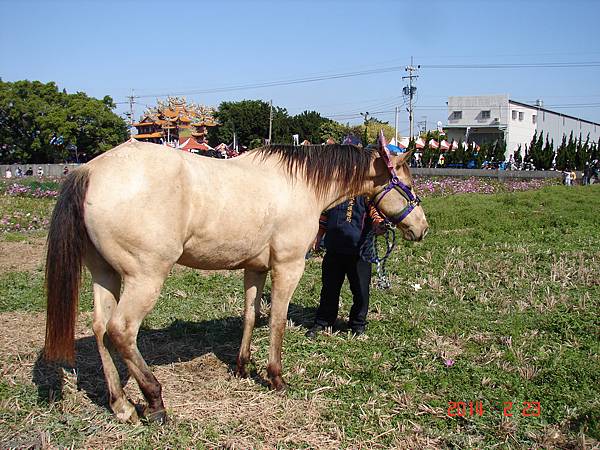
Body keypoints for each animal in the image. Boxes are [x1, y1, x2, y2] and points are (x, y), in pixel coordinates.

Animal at [44, 132, 428, 424]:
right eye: (408, 185)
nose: (422, 228)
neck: (299, 185)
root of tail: (90, 170)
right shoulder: (288, 266)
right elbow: (276, 321)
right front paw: (275, 377)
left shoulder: (255, 268)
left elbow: (250, 315)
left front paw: (243, 367)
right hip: (145, 277)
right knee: (121, 331)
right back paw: (154, 401)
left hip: (104, 274)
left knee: (100, 329)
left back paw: (121, 405)